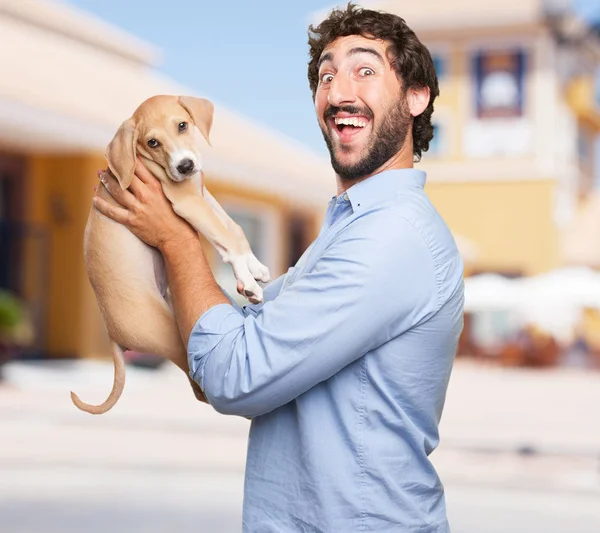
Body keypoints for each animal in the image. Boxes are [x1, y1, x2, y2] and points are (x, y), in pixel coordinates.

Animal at [72, 94, 272, 416]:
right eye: (152, 142)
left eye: (182, 126)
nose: (185, 166)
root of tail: (113, 333)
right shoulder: (187, 201)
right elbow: (228, 236)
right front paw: (248, 281)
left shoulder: (201, 195)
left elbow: (233, 229)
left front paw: (253, 268)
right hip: (174, 337)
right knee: (198, 385)